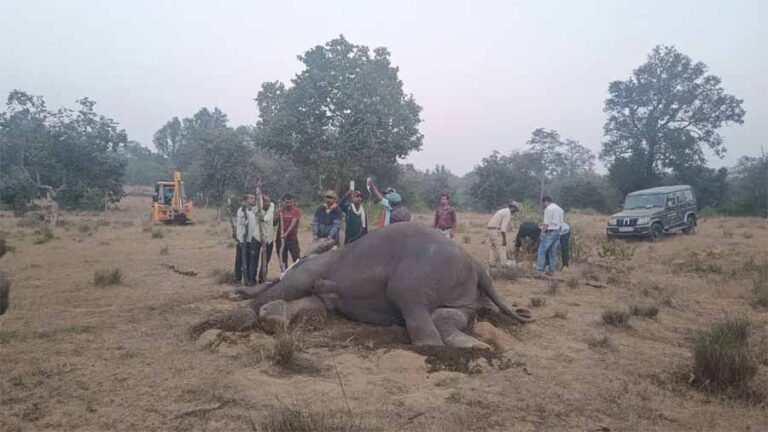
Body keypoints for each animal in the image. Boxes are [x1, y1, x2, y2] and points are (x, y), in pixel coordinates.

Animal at [238, 223, 532, 348]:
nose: (237, 291)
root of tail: (477, 264)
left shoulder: (312, 269)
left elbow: (297, 286)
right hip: (458, 291)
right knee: (446, 314)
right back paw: (474, 346)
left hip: (419, 277)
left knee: (411, 301)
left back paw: (433, 346)